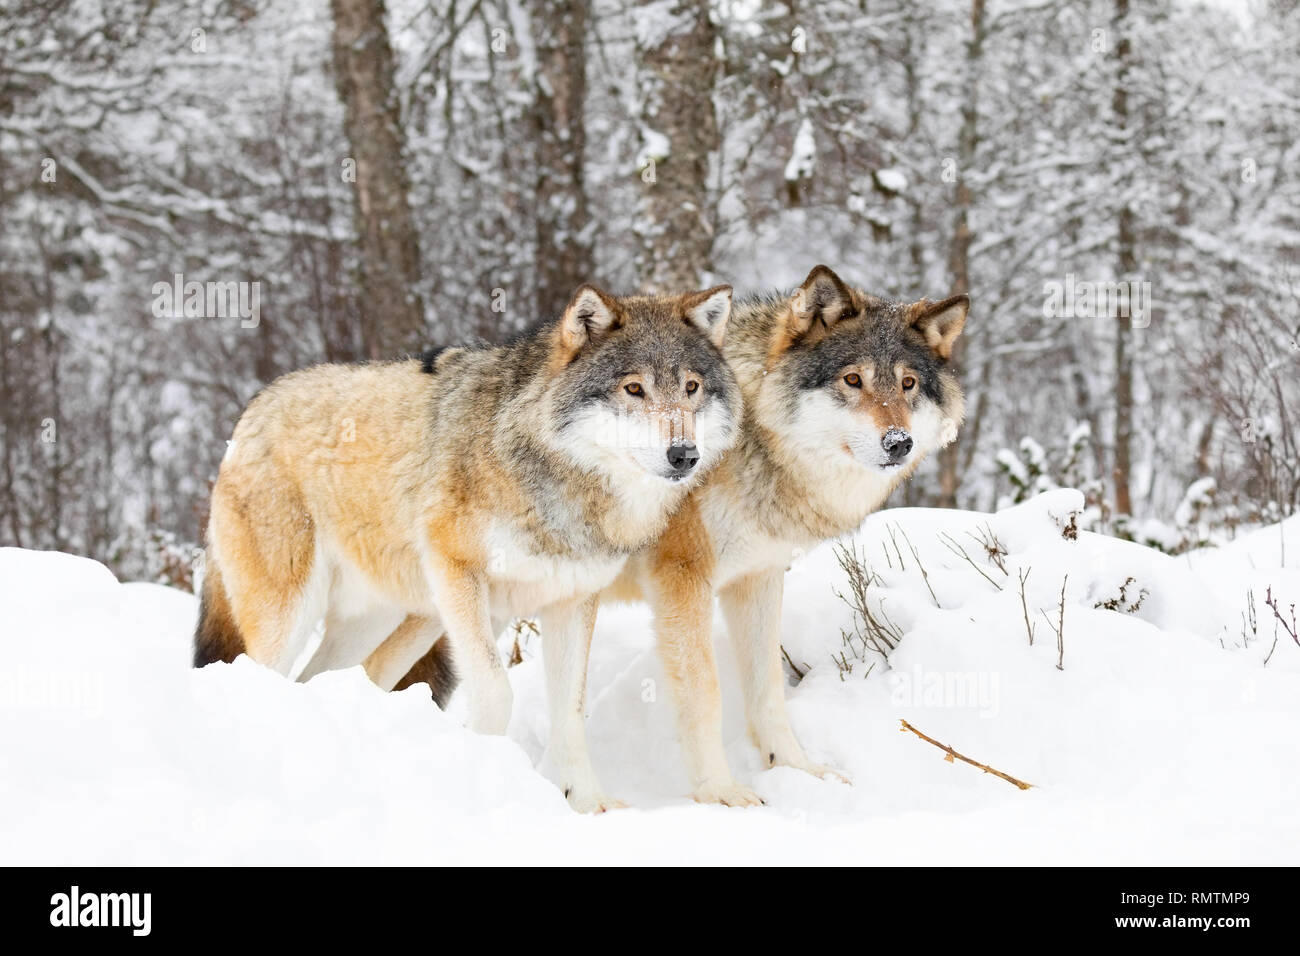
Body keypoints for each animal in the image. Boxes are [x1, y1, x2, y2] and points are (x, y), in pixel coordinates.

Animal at [192, 280, 743, 811]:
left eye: (691, 387)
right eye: (634, 388)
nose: (684, 455)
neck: (563, 483)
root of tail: (253, 407)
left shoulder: (572, 601)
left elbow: (571, 712)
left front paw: (587, 803)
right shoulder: (457, 571)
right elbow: (496, 690)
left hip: (390, 621)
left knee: (330, 677)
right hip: (297, 615)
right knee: (256, 674)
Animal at [395, 264, 967, 806]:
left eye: (908, 385)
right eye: (852, 380)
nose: (898, 442)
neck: (751, 440)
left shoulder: (758, 577)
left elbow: (767, 692)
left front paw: (799, 770)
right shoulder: (682, 577)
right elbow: (704, 693)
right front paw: (721, 791)